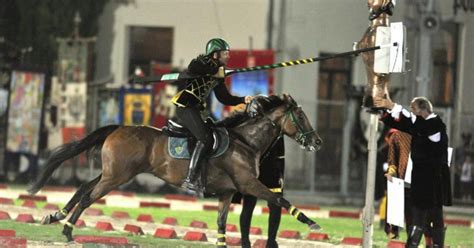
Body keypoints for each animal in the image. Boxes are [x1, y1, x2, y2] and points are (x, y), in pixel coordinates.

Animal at [28, 93, 322, 246]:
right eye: (300, 116)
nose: (317, 142)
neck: (245, 142)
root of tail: (118, 127)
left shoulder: (227, 192)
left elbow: (221, 222)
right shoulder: (249, 184)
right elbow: (280, 200)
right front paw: (311, 222)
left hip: (113, 173)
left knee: (83, 187)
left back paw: (55, 216)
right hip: (117, 177)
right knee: (89, 196)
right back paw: (67, 230)